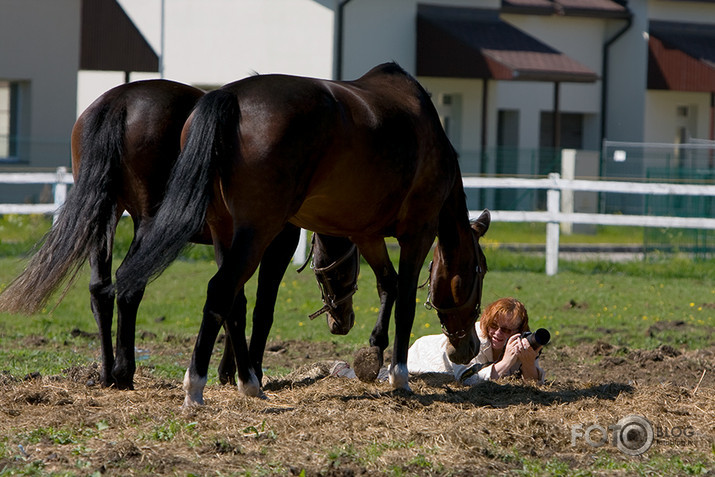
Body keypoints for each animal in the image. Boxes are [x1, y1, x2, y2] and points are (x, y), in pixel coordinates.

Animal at [0, 78, 358, 388]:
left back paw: (105, 373)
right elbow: (261, 308)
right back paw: (123, 372)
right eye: (349, 266)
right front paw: (249, 371)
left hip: (106, 214)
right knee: (128, 282)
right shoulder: (276, 243)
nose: (343, 322)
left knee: (100, 289)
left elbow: (233, 299)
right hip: (147, 221)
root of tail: (120, 100)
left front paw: (230, 372)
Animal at [117, 62, 492, 406]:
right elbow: (405, 303)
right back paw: (196, 387)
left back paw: (248, 382)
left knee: (232, 299)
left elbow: (389, 284)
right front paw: (399, 375)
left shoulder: (367, 234)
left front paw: (374, 352)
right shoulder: (418, 231)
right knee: (221, 290)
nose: (470, 346)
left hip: (225, 231)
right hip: (257, 232)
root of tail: (230, 97)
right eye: (481, 271)